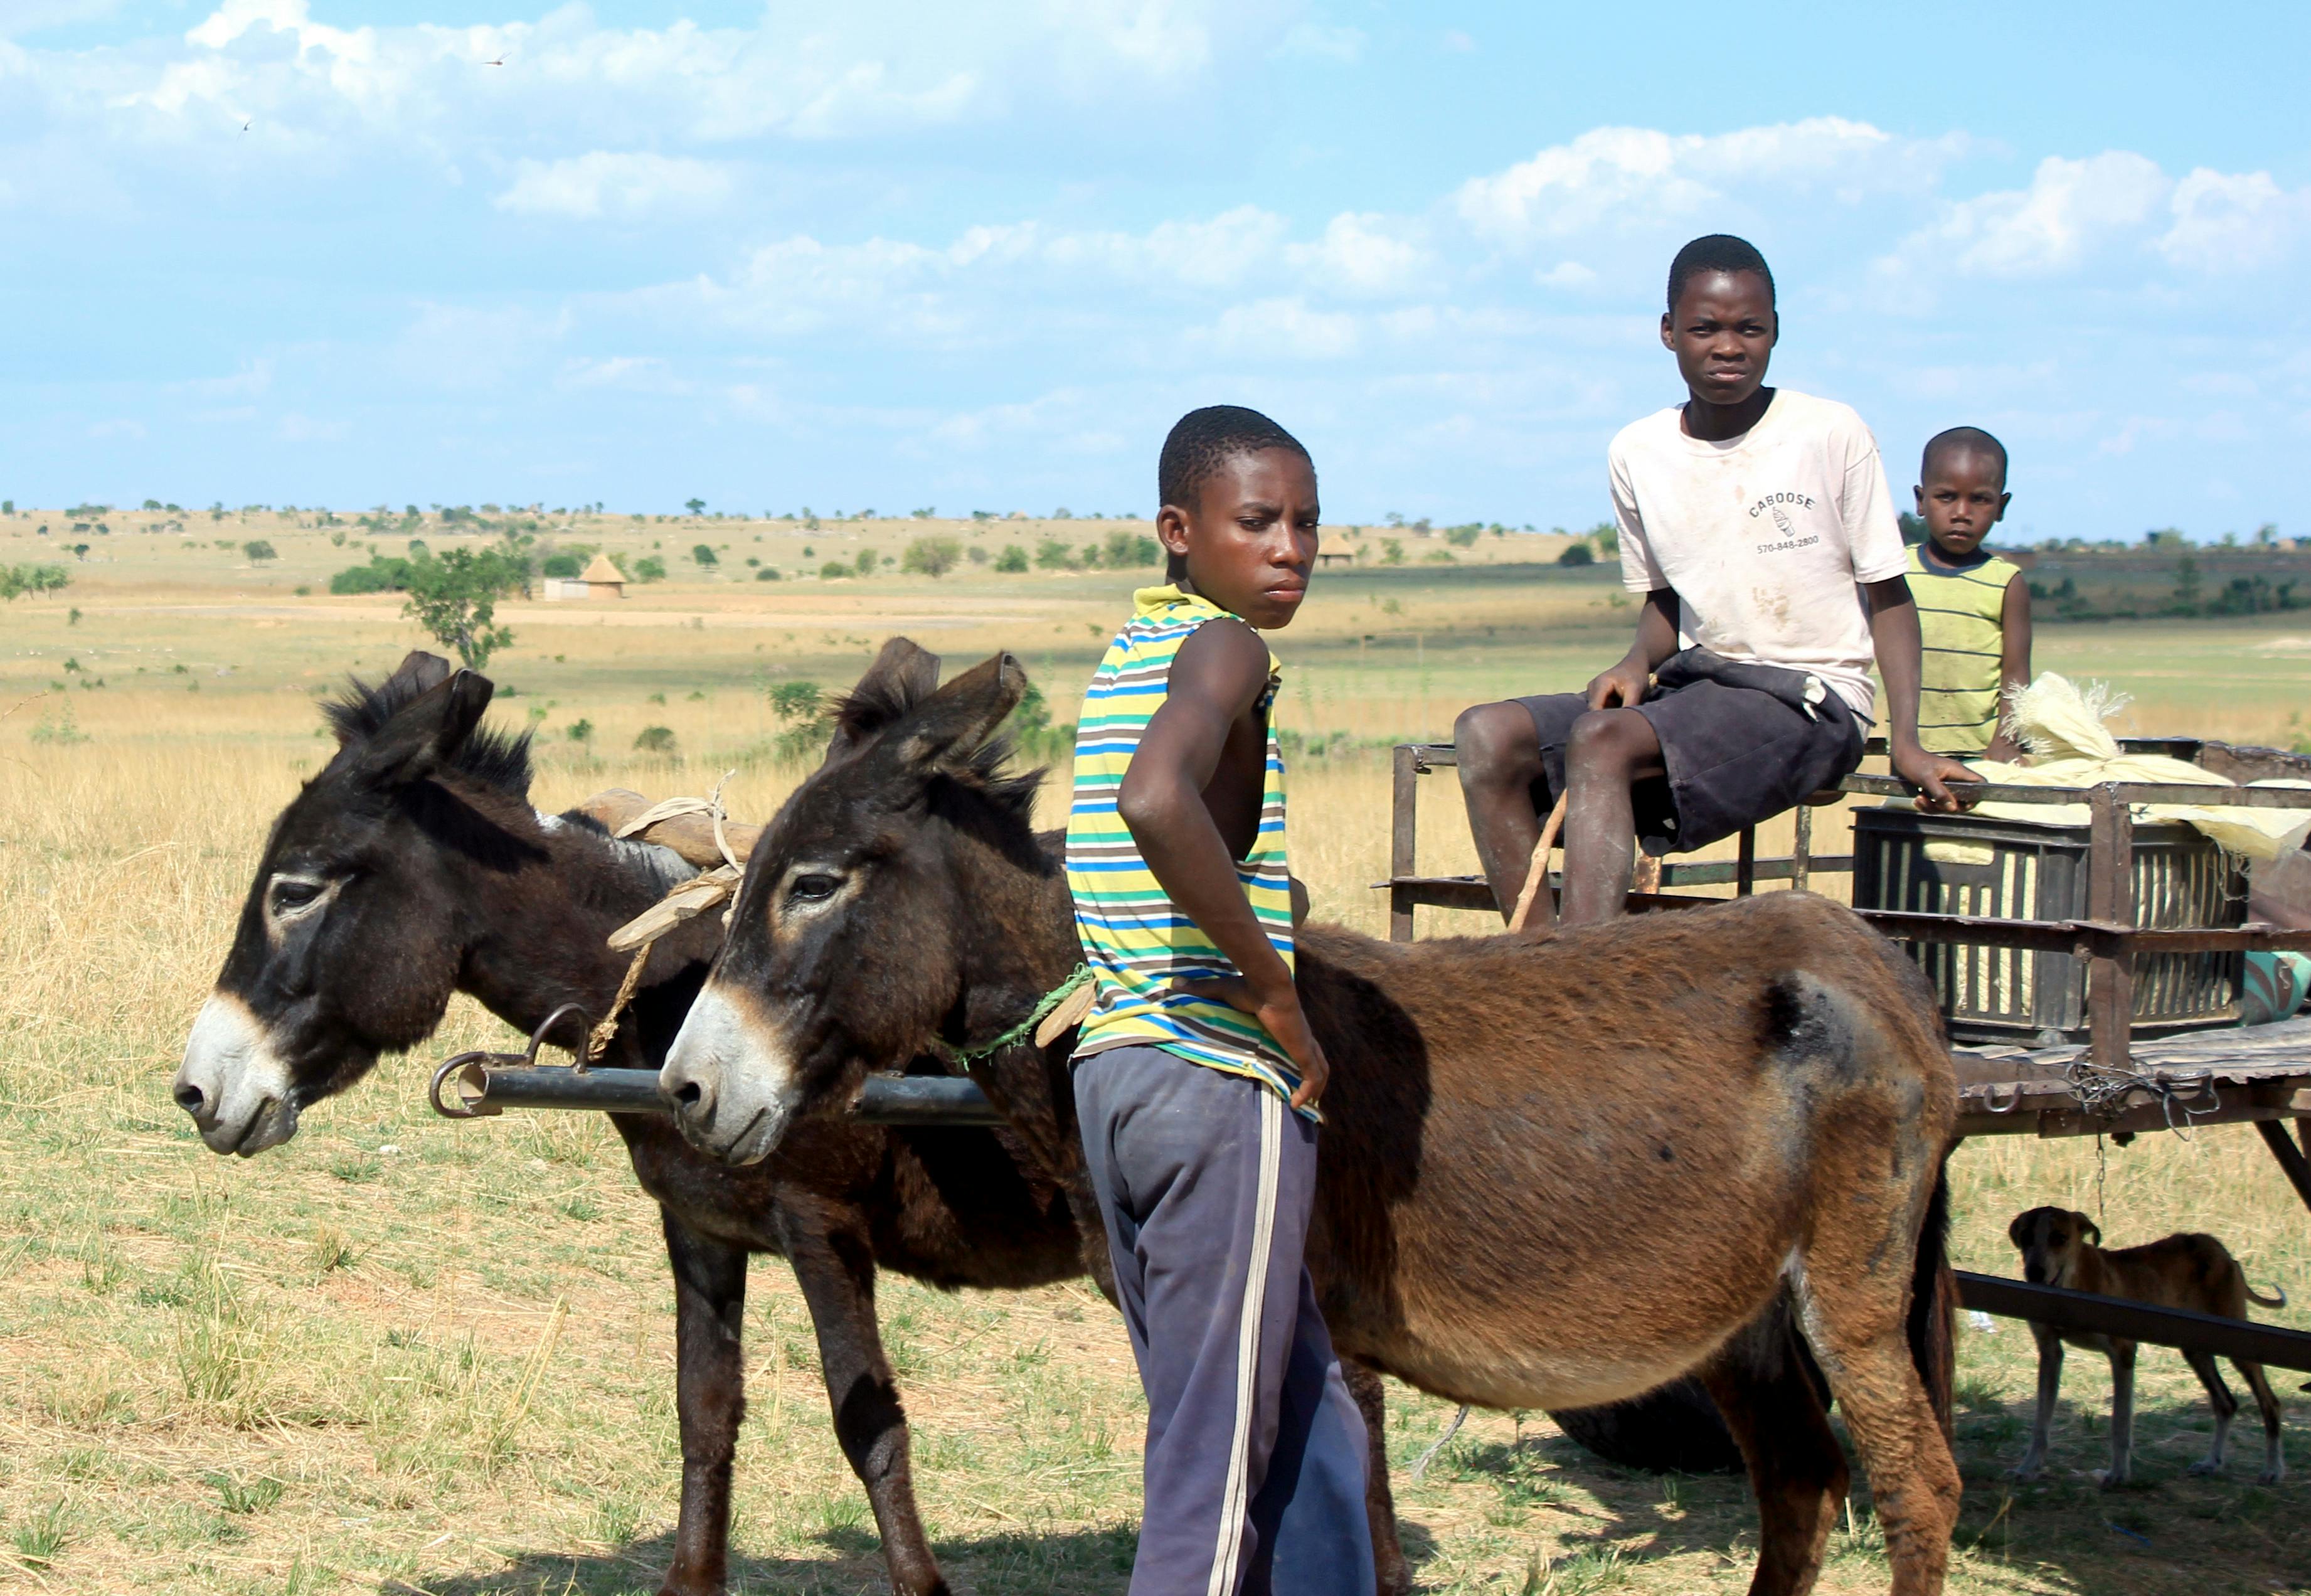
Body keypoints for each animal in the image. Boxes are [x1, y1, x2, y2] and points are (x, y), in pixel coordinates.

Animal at [2015, 1210, 2283, 1487]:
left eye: (2060, 1238)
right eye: (2026, 1237)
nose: (2034, 1272)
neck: (2073, 1286)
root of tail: (2217, 1247)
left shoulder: (2123, 1354)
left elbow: (2121, 1423)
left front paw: (2119, 1474)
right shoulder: (2050, 1353)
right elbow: (2041, 1423)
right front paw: (2029, 1467)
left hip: (2239, 1346)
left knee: (2270, 1404)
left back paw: (2273, 1469)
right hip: (2195, 1349)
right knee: (2226, 1403)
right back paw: (2212, 1463)